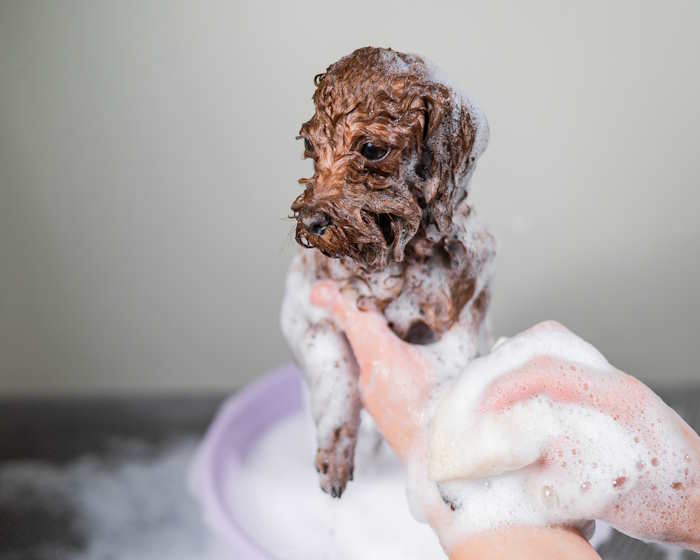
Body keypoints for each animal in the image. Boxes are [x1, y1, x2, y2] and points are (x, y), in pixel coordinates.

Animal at [282, 46, 494, 496]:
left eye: (372, 149)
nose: (310, 221)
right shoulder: (309, 312)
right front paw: (337, 442)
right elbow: (337, 367)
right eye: (309, 143)